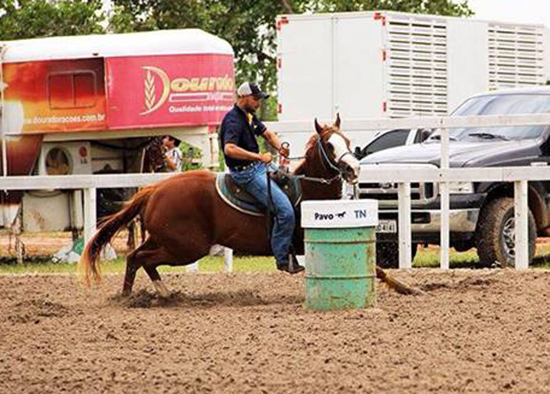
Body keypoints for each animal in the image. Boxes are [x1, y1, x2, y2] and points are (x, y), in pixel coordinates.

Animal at [78, 115, 362, 298]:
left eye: (348, 142)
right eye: (329, 145)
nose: (354, 168)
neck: (307, 189)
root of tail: (154, 190)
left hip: (164, 239)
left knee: (136, 258)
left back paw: (144, 294)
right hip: (186, 247)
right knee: (143, 259)